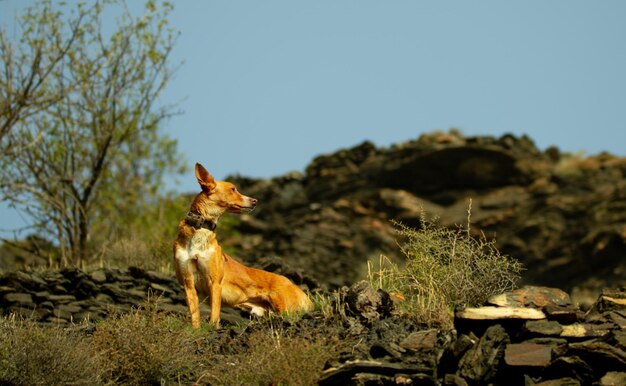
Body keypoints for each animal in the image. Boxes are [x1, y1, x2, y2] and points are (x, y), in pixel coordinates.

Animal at [172, 161, 310, 328]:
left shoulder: (214, 282)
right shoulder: (188, 283)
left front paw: (213, 328)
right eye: (233, 189)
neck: (200, 231)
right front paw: (196, 329)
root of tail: (297, 288)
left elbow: (215, 313)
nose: (255, 201)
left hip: (284, 308)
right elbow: (194, 315)